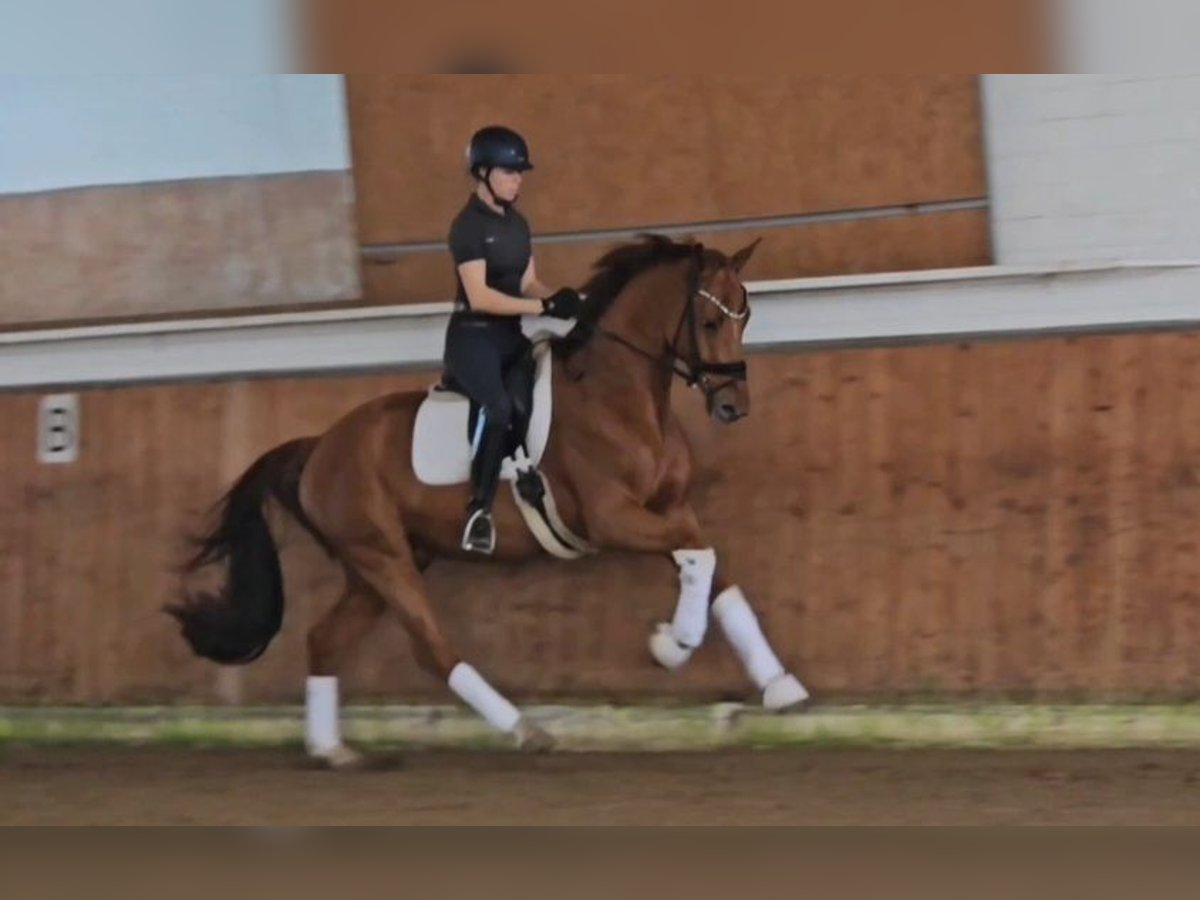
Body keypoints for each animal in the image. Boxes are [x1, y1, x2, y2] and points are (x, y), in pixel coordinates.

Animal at [167, 234, 809, 768]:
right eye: (709, 319)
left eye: (746, 313)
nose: (733, 406)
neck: (621, 398)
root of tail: (320, 446)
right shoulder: (611, 519)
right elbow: (702, 557)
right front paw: (672, 646)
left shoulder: (671, 510)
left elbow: (714, 570)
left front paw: (780, 686)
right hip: (383, 557)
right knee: (432, 648)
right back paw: (525, 730)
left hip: (379, 563)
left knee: (324, 639)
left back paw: (332, 750)